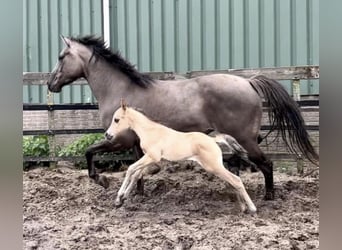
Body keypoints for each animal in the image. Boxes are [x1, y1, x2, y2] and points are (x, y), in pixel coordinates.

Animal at [104, 100, 256, 214]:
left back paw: (252, 208)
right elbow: (136, 174)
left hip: (214, 167)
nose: (107, 135)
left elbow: (130, 169)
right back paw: (243, 208)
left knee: (236, 180)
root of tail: (212, 140)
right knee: (233, 181)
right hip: (216, 167)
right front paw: (122, 199)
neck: (150, 131)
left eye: (116, 120)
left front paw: (119, 197)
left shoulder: (152, 157)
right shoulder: (149, 158)